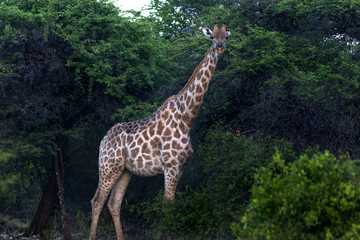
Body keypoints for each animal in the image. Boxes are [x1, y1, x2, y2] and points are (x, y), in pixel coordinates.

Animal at [89, 23, 231, 239]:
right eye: (213, 37)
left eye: (226, 37)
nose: (221, 47)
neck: (187, 117)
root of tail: (103, 141)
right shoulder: (171, 166)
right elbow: (167, 207)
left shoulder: (181, 167)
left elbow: (170, 207)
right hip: (108, 167)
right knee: (97, 200)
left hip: (125, 170)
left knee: (114, 202)